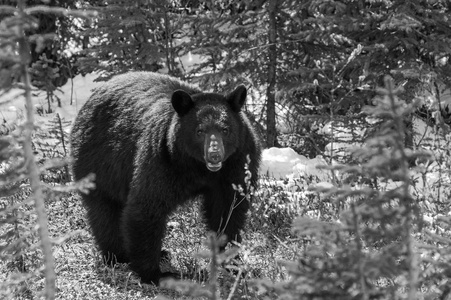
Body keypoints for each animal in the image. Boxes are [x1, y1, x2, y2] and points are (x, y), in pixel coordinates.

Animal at [70, 71, 262, 284]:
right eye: (200, 131)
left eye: (225, 130)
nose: (214, 155)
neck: (198, 168)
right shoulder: (162, 158)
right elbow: (147, 206)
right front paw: (155, 273)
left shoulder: (237, 163)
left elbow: (228, 208)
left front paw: (233, 263)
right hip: (98, 162)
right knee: (105, 211)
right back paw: (117, 255)